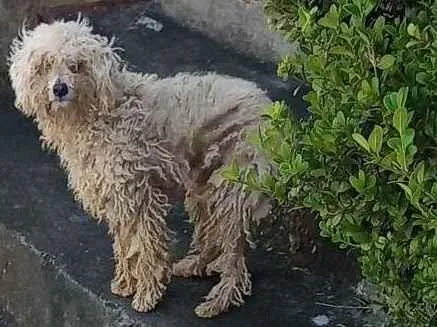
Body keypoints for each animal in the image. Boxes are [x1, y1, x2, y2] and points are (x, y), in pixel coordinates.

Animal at [7, 16, 270, 320]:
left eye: (77, 66)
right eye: (45, 66)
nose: (59, 89)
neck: (100, 114)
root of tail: (265, 105)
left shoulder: (137, 196)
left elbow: (145, 246)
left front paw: (147, 295)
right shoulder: (118, 199)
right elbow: (124, 245)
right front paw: (125, 283)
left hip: (232, 191)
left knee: (234, 259)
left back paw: (217, 302)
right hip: (205, 188)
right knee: (212, 236)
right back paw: (195, 266)